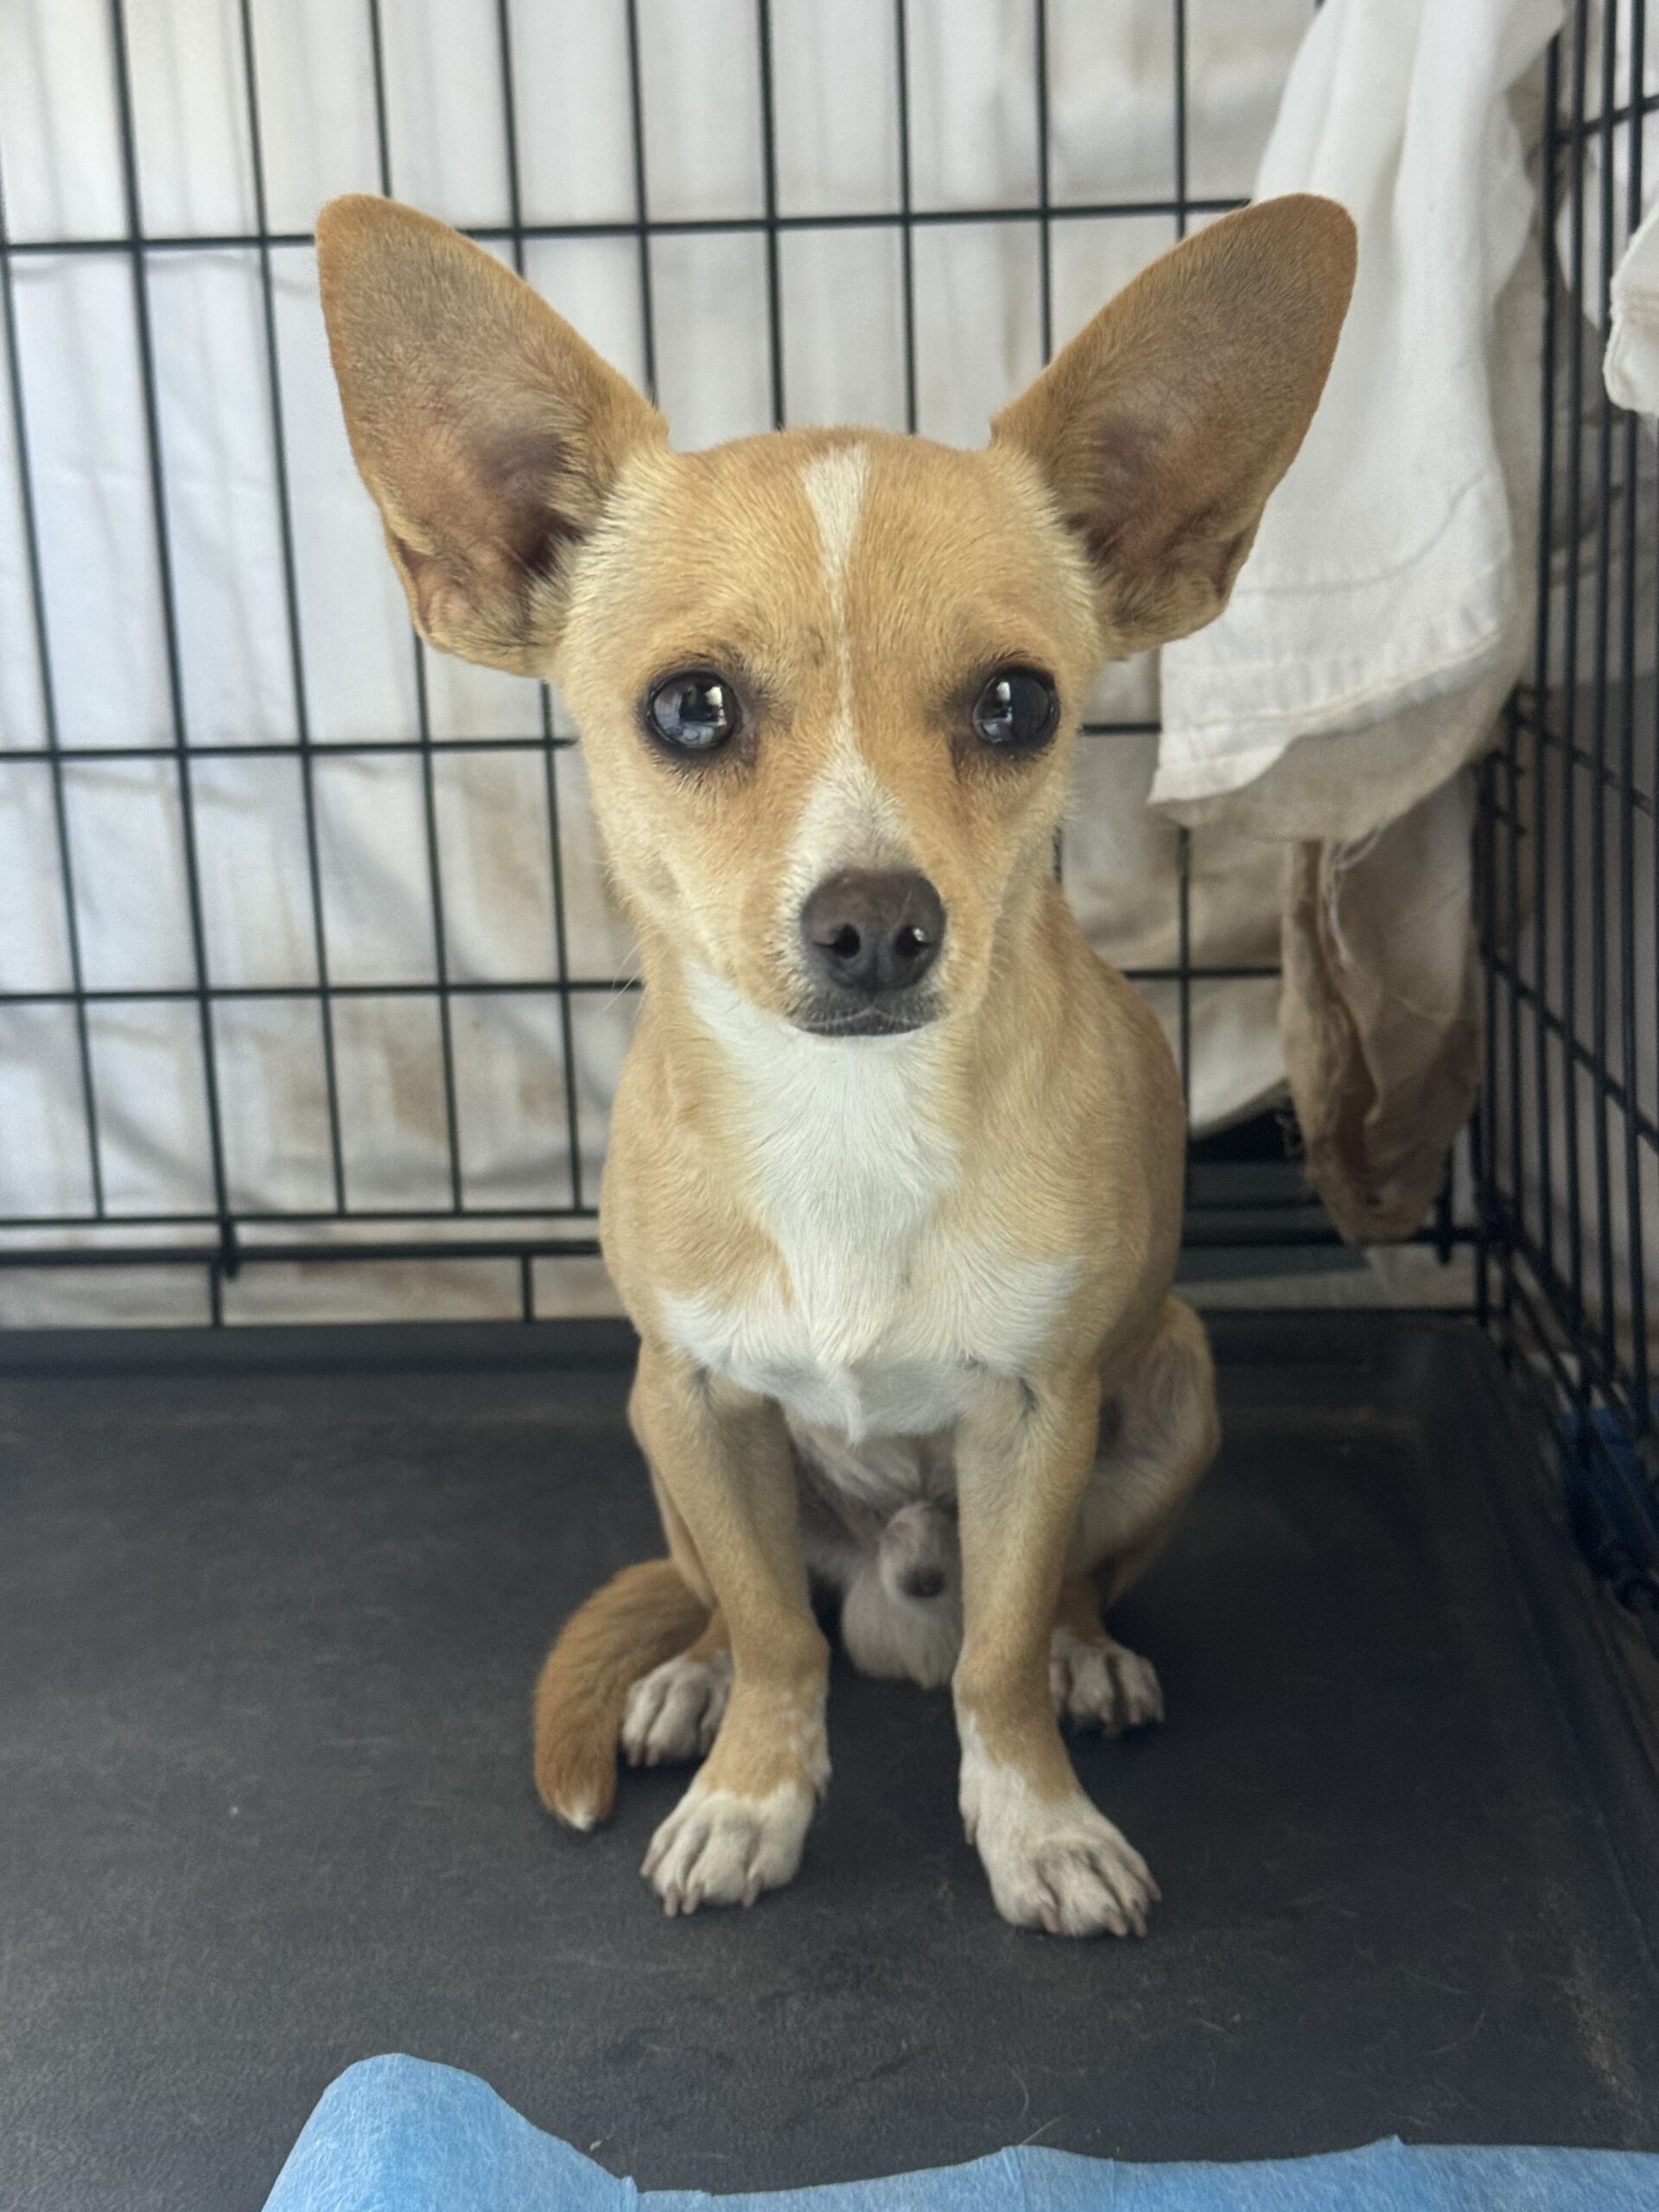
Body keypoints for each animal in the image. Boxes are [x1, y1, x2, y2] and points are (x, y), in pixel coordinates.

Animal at [316, 191, 1354, 1937]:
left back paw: (1088, 1658)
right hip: (658, 1441)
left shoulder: (1038, 1416)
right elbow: (775, 1638)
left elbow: (996, 1658)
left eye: (1016, 703)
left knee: (1055, 1594)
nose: (877, 923)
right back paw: (685, 1681)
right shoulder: (697, 1399)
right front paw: (753, 1793)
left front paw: (1038, 1826)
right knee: (745, 1609)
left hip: (1175, 1388)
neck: (848, 1121)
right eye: (690, 707)